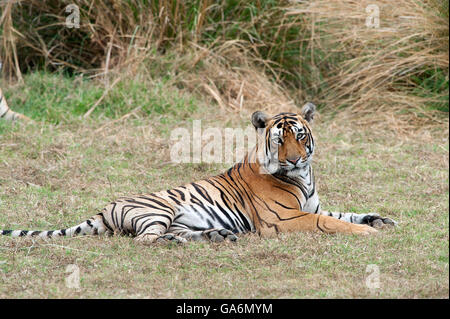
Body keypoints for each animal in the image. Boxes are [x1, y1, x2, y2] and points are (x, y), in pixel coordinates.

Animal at [0, 103, 396, 245]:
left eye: (299, 136)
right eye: (279, 140)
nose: (296, 160)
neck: (304, 178)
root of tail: (103, 208)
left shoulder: (311, 206)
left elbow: (344, 212)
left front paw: (381, 219)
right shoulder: (284, 219)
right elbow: (331, 222)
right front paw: (367, 231)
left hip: (177, 217)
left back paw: (217, 235)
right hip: (158, 209)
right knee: (145, 239)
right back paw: (181, 242)